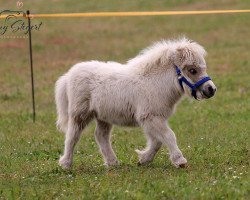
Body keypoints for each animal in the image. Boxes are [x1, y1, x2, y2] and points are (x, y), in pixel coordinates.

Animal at [55, 38, 216, 169]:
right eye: (192, 70)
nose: (211, 89)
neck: (154, 82)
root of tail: (69, 75)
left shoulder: (152, 119)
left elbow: (157, 141)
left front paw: (143, 159)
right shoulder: (151, 117)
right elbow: (168, 136)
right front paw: (180, 160)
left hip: (103, 116)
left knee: (101, 136)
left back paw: (112, 162)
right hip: (80, 114)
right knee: (72, 136)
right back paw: (66, 164)